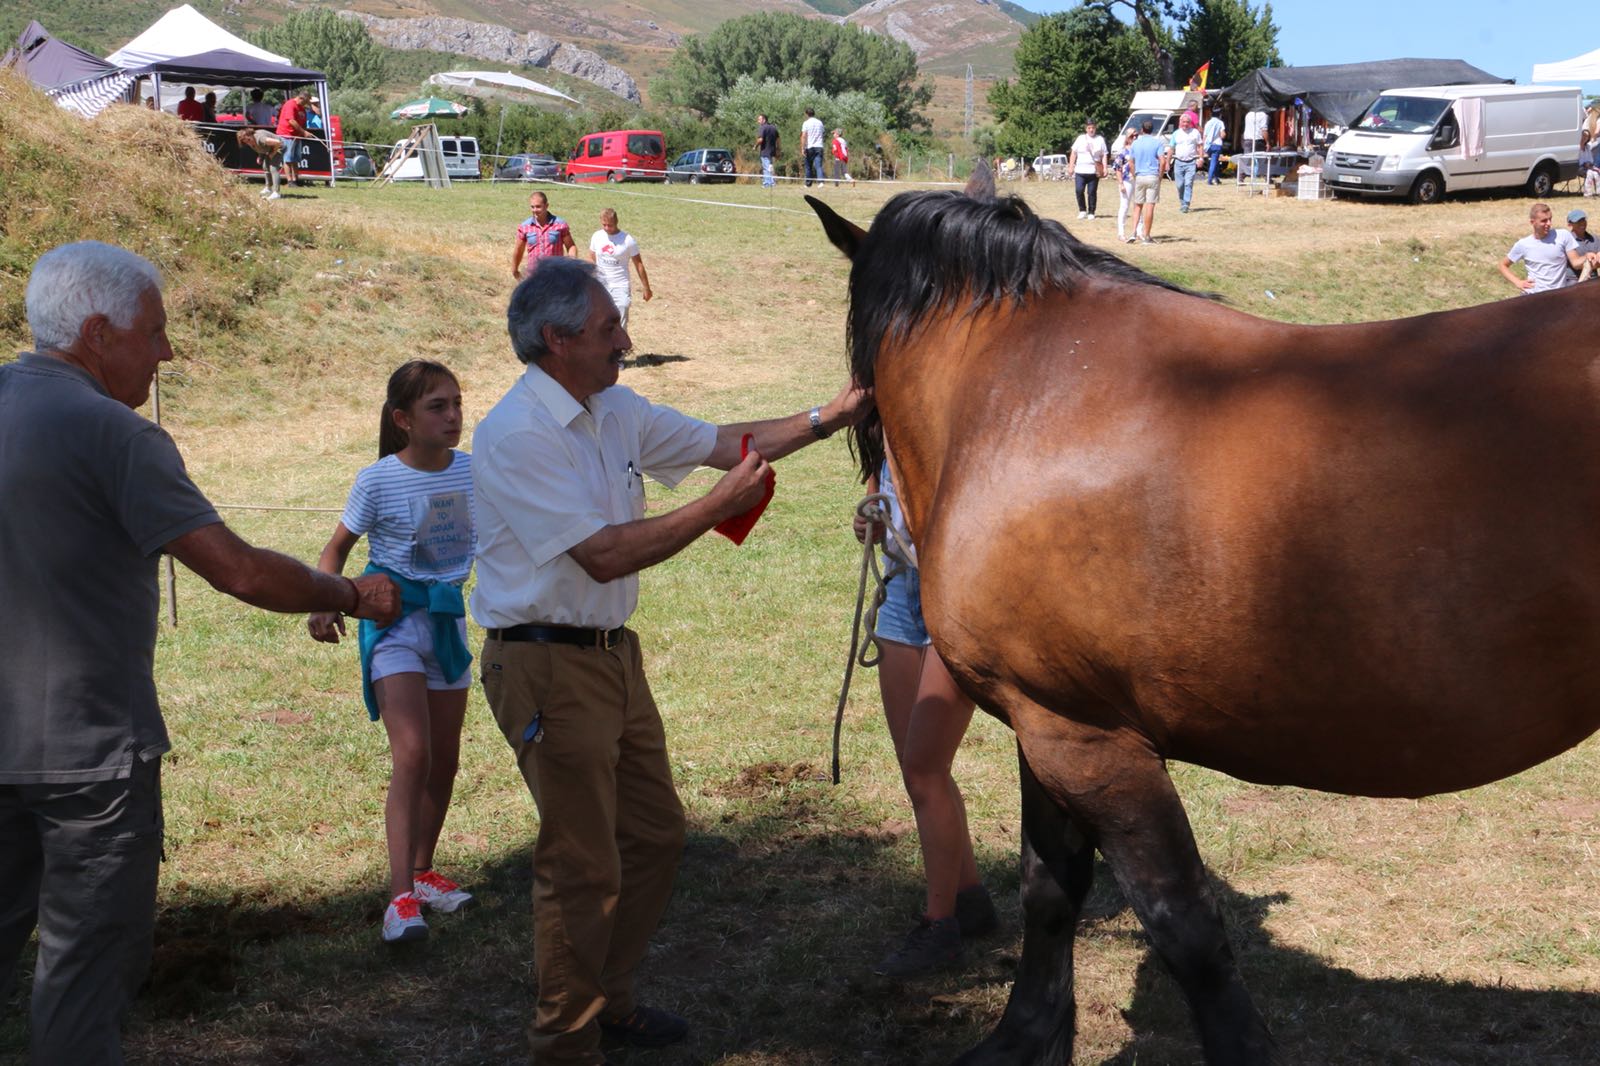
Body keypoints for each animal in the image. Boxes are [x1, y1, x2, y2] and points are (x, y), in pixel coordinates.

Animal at [806, 178, 1600, 1056]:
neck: (1027, 396)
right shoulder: (1044, 719)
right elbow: (1049, 892)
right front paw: (1022, 1039)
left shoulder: (1090, 744)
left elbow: (1184, 930)